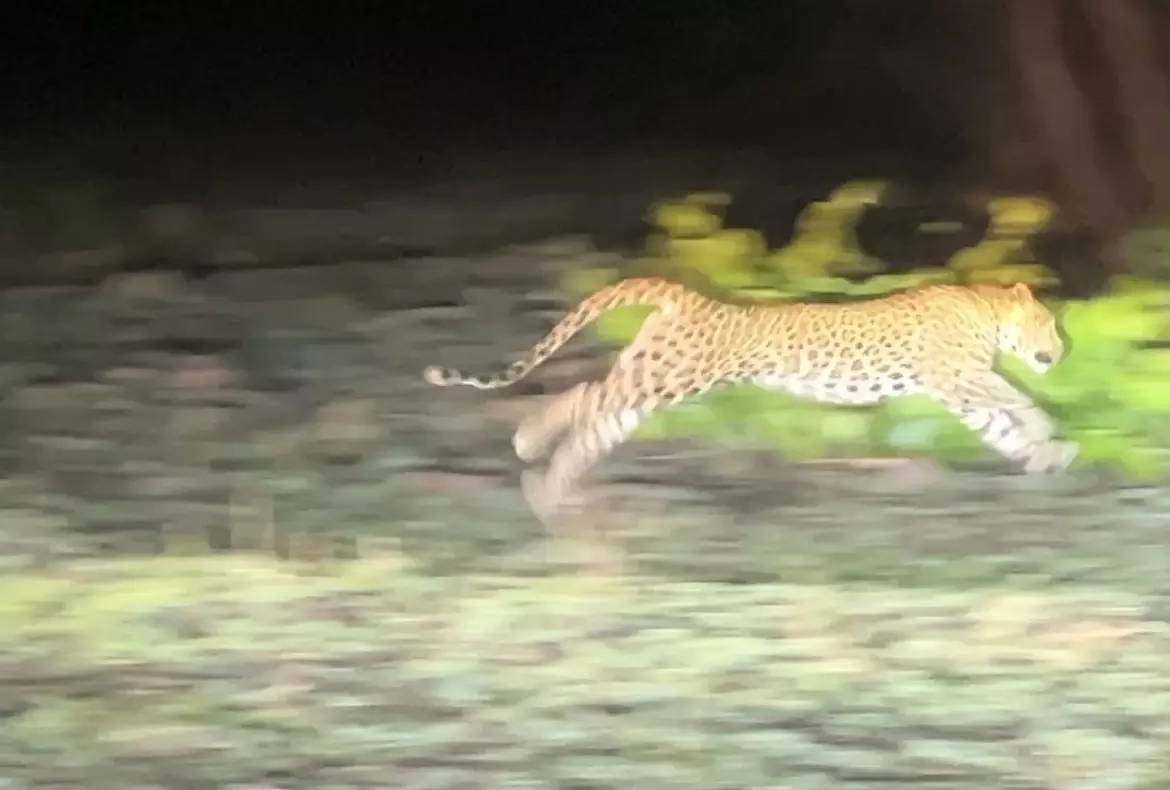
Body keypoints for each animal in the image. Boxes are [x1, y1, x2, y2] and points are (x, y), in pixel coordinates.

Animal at [423, 276, 1078, 523]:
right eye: (1047, 322)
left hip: (652, 380)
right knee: (588, 397)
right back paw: (531, 448)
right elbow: (1011, 395)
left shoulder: (957, 390)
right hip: (668, 377)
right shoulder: (955, 373)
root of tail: (690, 296)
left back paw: (547, 480)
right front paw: (1046, 427)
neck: (986, 310)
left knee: (594, 409)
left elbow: (1000, 427)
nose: (1061, 350)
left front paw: (1045, 454)